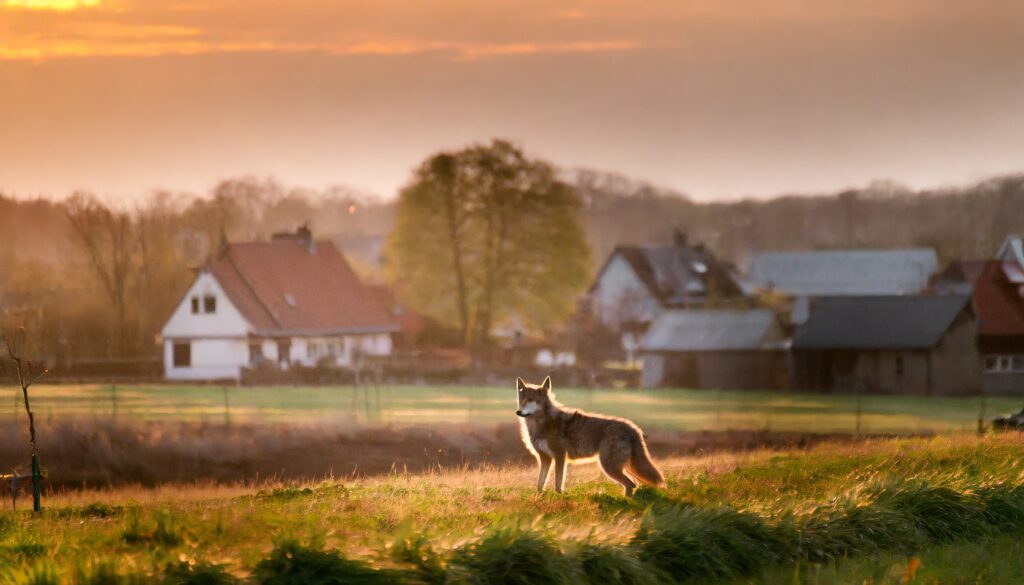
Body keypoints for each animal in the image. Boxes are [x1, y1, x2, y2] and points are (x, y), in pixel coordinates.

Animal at [512, 377, 663, 495]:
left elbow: (558, 483)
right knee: (634, 484)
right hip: (624, 468)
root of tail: (633, 428)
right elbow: (540, 484)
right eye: (522, 401)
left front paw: (559, 496)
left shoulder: (560, 456)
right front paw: (539, 497)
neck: (541, 423)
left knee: (631, 484)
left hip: (609, 467)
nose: (518, 412)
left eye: (531, 400)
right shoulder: (545, 459)